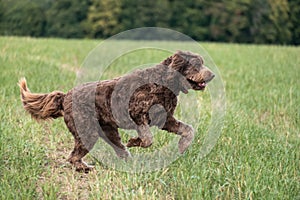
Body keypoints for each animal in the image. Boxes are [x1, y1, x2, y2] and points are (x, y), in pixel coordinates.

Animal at [18, 51, 214, 172]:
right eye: (197, 64)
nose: (212, 75)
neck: (164, 82)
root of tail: (65, 96)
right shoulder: (137, 113)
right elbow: (148, 139)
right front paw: (135, 141)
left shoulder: (165, 119)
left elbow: (188, 129)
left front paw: (183, 146)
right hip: (87, 133)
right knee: (73, 157)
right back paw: (85, 168)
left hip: (109, 131)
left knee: (119, 149)